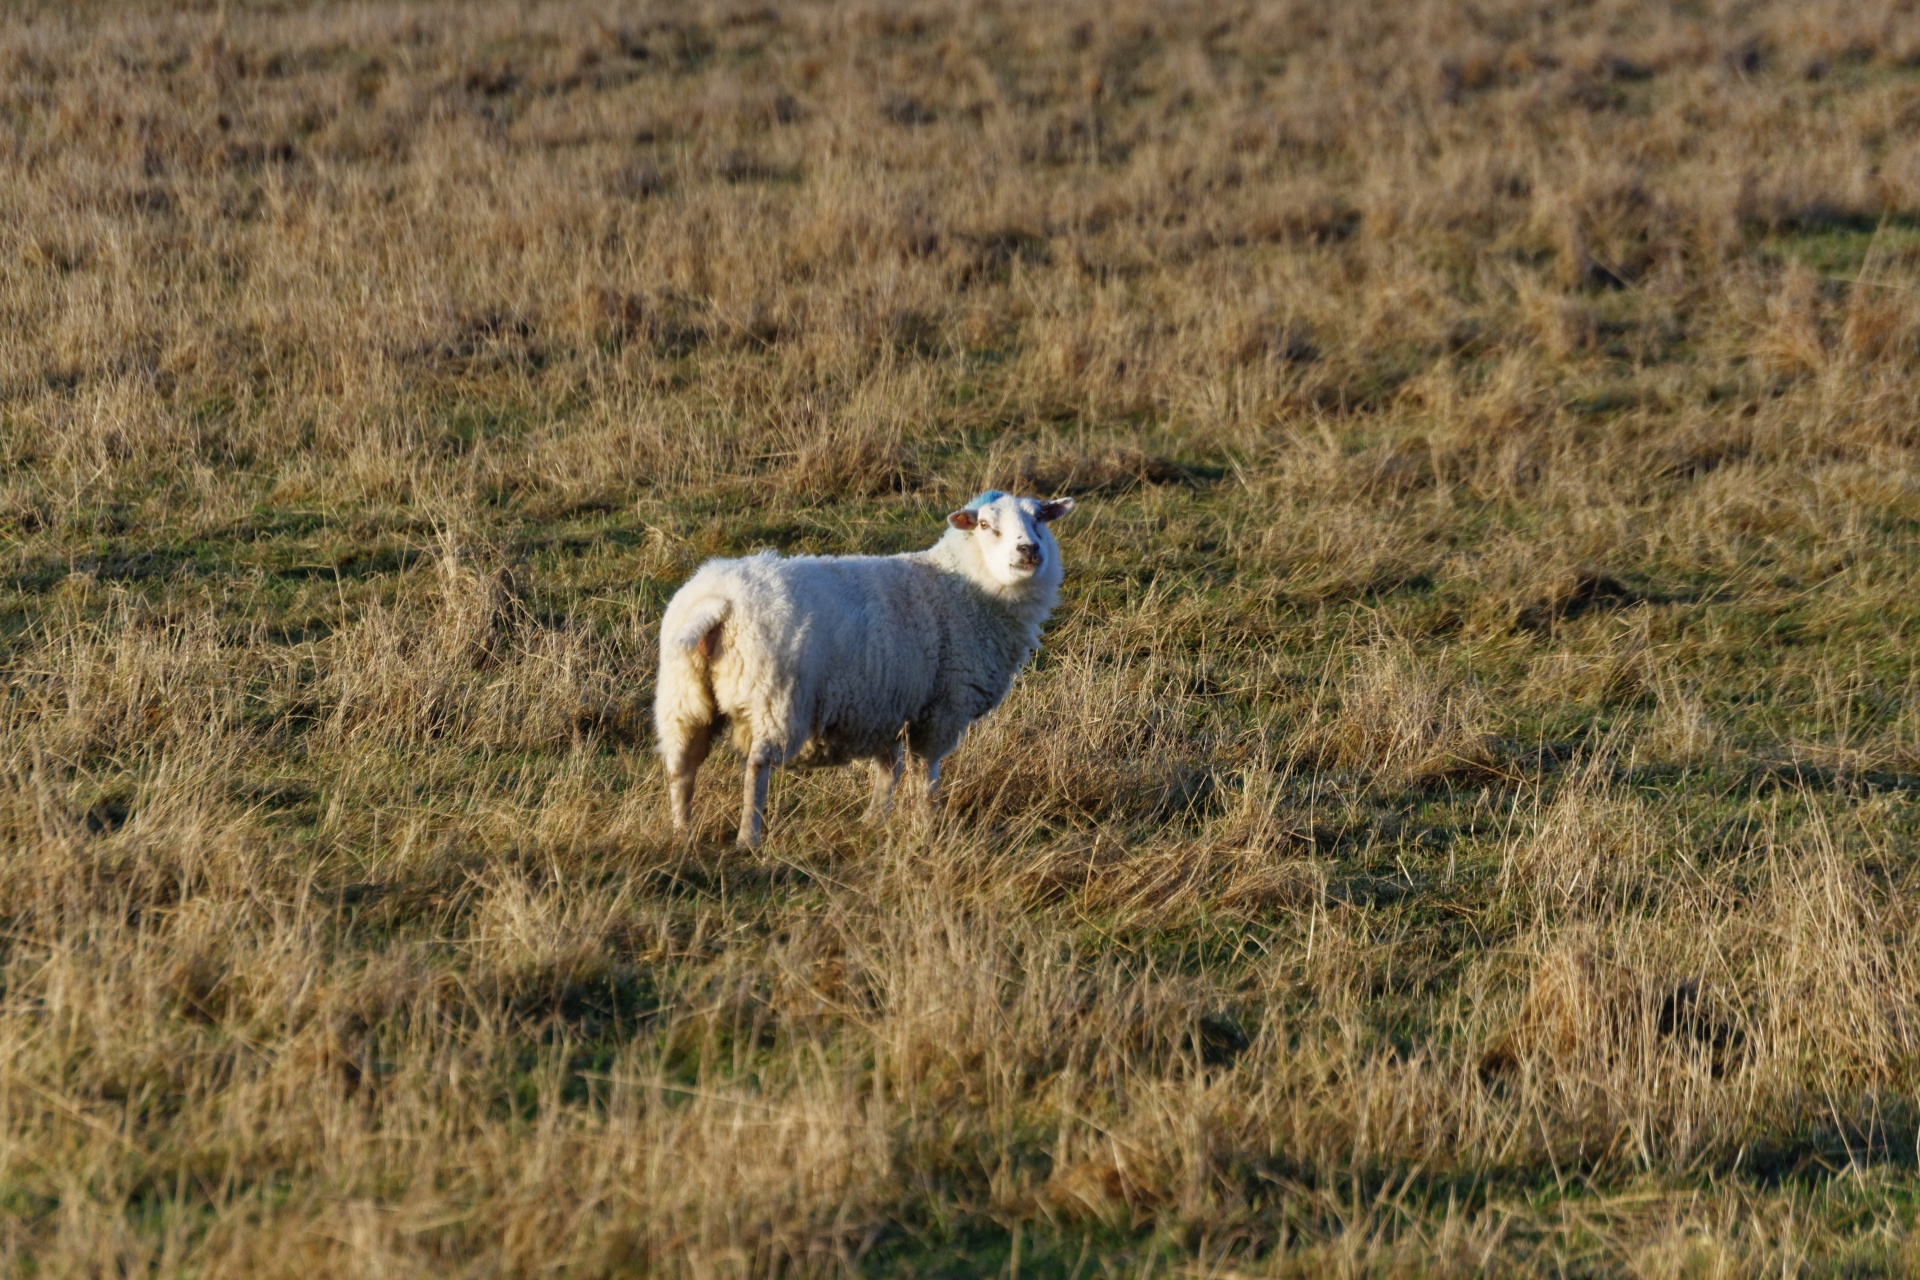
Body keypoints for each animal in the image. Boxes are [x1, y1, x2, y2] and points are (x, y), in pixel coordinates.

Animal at [656, 495, 1082, 844]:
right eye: (985, 526)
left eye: (1040, 517)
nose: (1029, 550)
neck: (963, 589)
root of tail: (719, 603)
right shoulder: (941, 709)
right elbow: (924, 771)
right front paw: (924, 826)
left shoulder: (885, 706)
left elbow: (889, 768)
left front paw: (875, 819)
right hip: (774, 698)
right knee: (757, 765)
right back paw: (749, 837)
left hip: (683, 698)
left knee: (681, 768)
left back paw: (682, 834)